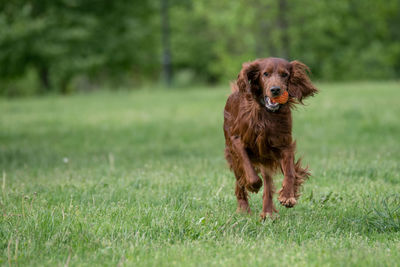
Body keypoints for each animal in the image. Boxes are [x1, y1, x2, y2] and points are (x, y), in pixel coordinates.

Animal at [223, 57, 318, 221]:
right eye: (265, 74)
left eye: (285, 74)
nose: (275, 90)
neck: (266, 114)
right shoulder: (237, 141)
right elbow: (249, 169)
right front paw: (253, 185)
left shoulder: (283, 144)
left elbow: (290, 171)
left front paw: (288, 195)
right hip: (233, 156)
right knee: (239, 180)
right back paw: (244, 208)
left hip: (265, 159)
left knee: (267, 185)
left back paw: (267, 212)